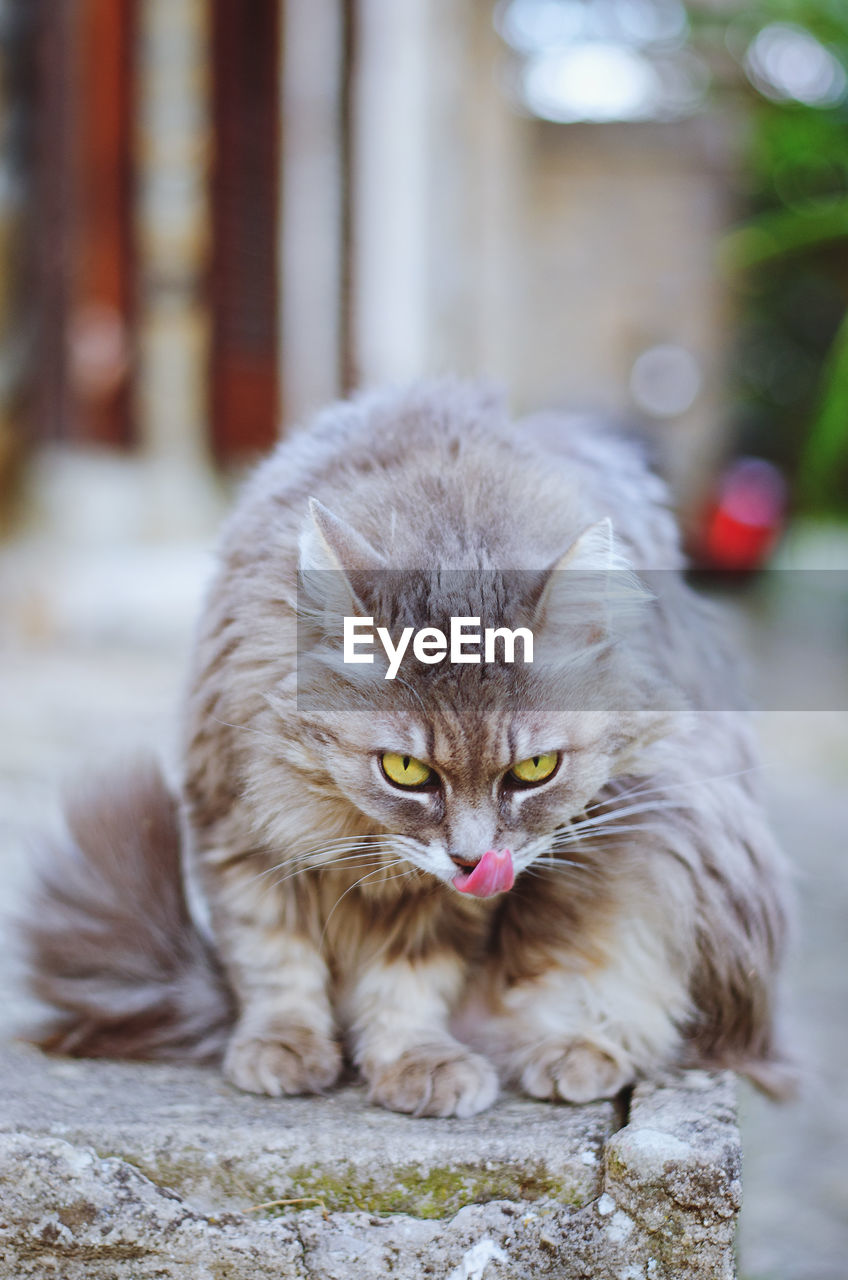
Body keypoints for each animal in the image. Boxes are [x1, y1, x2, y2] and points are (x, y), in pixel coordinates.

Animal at [23, 381, 794, 1121]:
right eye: (406, 771)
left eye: (534, 770)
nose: (473, 861)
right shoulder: (240, 827)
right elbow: (274, 957)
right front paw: (284, 1045)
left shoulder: (451, 907)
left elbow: (410, 981)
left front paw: (417, 1062)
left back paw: (570, 1050)